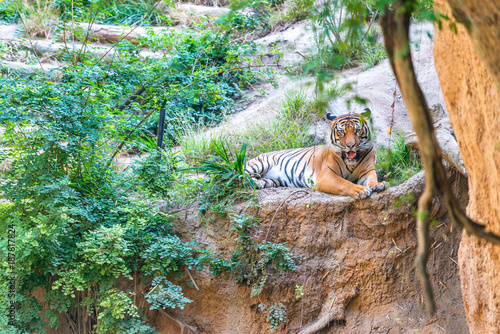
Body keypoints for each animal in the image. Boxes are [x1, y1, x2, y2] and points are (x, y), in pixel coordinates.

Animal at [244, 109, 388, 198]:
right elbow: (344, 183)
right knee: (241, 173)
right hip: (258, 164)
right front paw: (360, 190)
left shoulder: (367, 171)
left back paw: (256, 183)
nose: (350, 145)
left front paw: (379, 185)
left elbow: (372, 179)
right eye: (342, 132)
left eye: (357, 130)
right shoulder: (326, 176)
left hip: (272, 180)